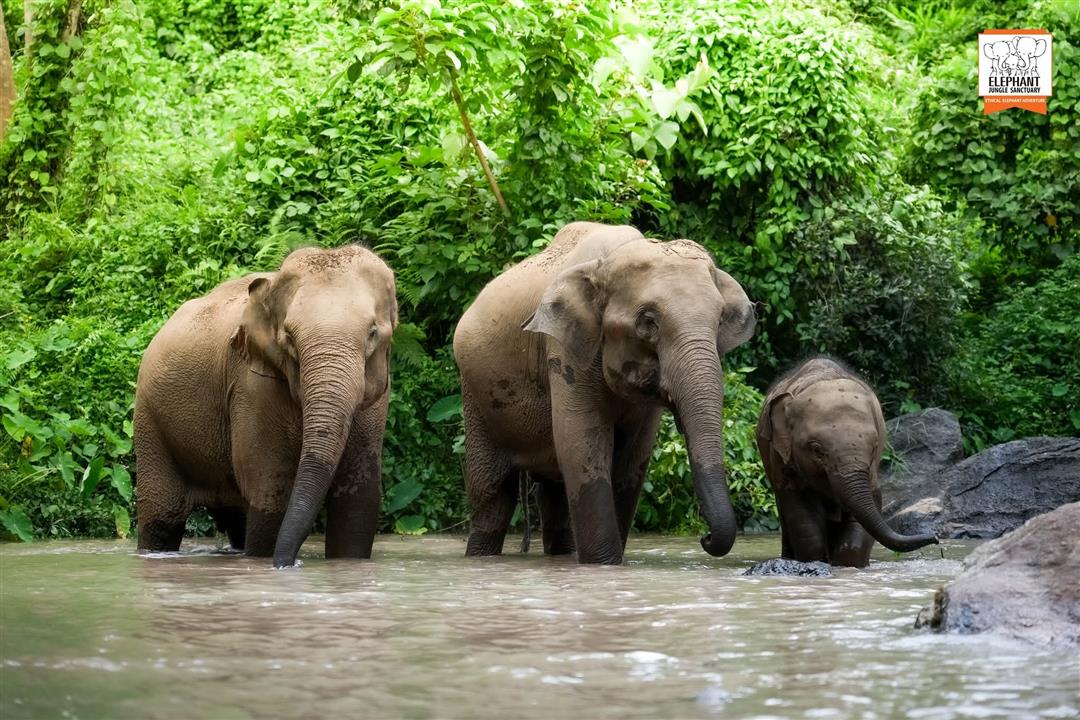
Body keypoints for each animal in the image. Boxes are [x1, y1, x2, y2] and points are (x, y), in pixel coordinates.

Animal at [134, 245, 397, 567]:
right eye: (289, 338)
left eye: (373, 333)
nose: (288, 563)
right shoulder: (252, 386)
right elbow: (271, 488)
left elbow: (358, 501)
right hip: (150, 420)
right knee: (162, 517)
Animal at [453, 221, 757, 564]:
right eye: (648, 321)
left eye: (720, 320)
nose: (704, 536)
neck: (608, 260)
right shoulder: (566, 351)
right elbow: (581, 444)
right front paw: (603, 564)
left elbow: (632, 461)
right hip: (476, 397)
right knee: (492, 495)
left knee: (554, 497)